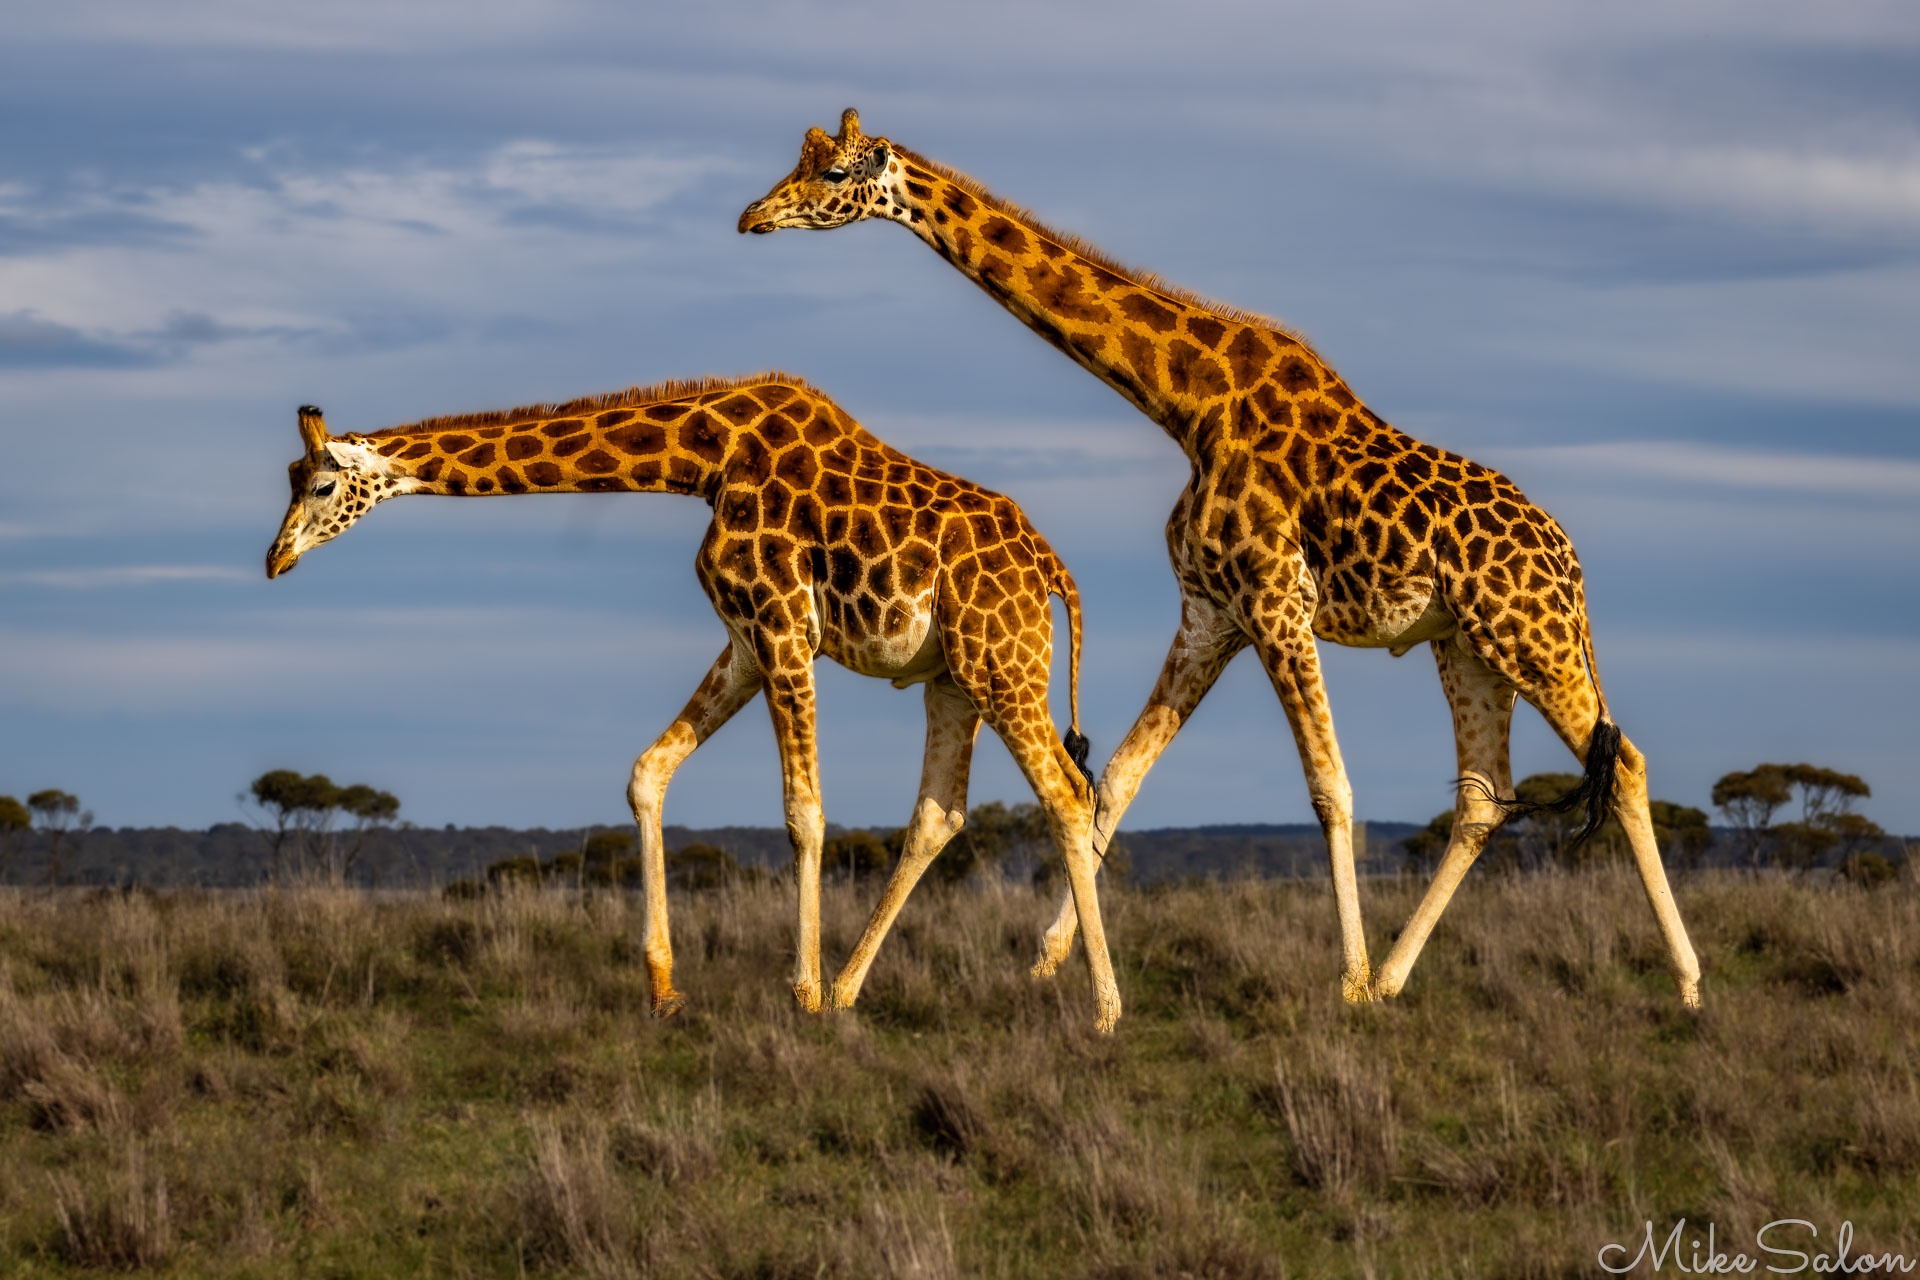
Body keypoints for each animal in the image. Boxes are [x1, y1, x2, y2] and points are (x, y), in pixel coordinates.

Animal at [264, 375, 1123, 1031]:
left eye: (322, 484)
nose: (275, 559)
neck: (706, 458)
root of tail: (1054, 571)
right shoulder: (745, 642)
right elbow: (648, 771)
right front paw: (665, 988)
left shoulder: (781, 628)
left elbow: (804, 811)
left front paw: (800, 994)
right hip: (954, 678)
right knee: (942, 814)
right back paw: (852, 990)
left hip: (1001, 664)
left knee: (1066, 793)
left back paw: (1104, 1009)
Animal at [739, 110, 1702, 1009]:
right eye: (796, 161)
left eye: (831, 173)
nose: (753, 216)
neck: (1187, 406)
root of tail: (1571, 564)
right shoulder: (1211, 613)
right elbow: (1118, 778)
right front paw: (1048, 962)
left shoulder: (1275, 602)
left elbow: (1329, 786)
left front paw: (1344, 981)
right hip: (1466, 644)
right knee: (1481, 794)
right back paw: (1398, 979)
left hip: (1530, 636)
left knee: (1625, 765)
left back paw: (1686, 982)